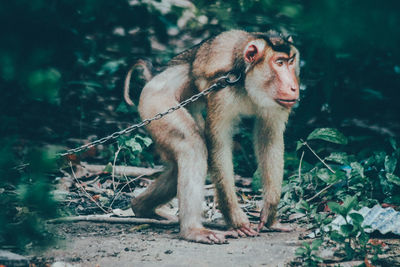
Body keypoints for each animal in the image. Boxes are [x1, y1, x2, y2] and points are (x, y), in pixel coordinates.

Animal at [125, 29, 300, 245]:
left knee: (177, 167)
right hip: (155, 104)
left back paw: (140, 207)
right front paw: (236, 221)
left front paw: (270, 215)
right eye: (279, 63)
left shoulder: (275, 103)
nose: (294, 87)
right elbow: (219, 146)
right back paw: (192, 230)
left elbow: (270, 140)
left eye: (291, 61)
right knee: (192, 145)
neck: (245, 81)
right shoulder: (222, 90)